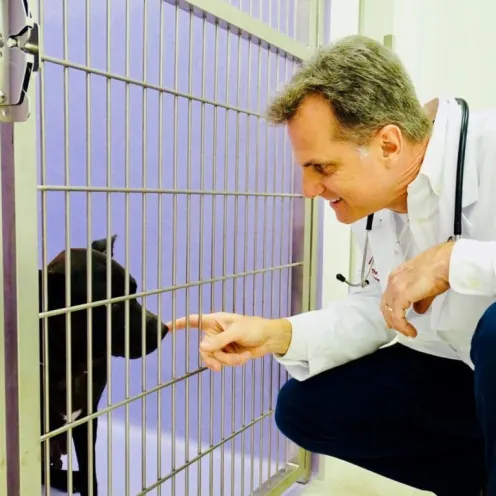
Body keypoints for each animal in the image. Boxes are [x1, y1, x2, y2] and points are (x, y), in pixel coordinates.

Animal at [38, 236, 169, 496]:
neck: (72, 364)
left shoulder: (87, 418)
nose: (162, 329)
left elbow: (91, 472)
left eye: (134, 289)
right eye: (112, 305)